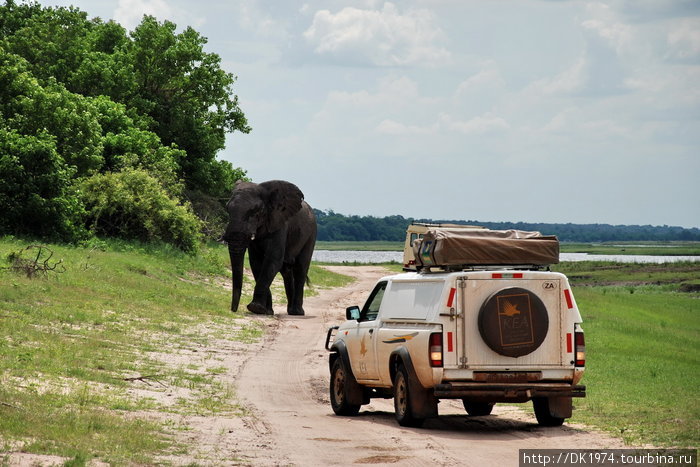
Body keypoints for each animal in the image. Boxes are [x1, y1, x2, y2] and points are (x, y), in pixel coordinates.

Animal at [221, 181, 318, 316]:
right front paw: (266, 311)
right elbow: (256, 263)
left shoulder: (280, 224)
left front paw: (256, 308)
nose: (233, 310)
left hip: (311, 234)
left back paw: (297, 313)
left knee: (301, 268)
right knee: (287, 272)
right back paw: (290, 311)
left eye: (255, 212)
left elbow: (272, 260)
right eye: (227, 209)